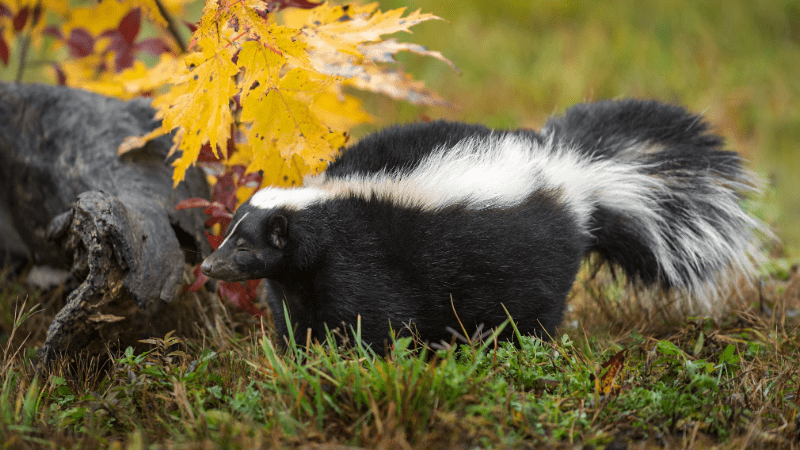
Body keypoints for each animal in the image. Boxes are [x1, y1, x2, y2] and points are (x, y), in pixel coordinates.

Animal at [200, 99, 768, 352]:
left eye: (245, 246)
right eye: (229, 235)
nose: (207, 266)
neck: (325, 207)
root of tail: (576, 172)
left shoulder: (365, 258)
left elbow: (375, 317)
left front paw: (359, 358)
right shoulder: (299, 278)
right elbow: (297, 317)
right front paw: (303, 357)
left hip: (531, 259)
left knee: (532, 312)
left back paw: (519, 348)